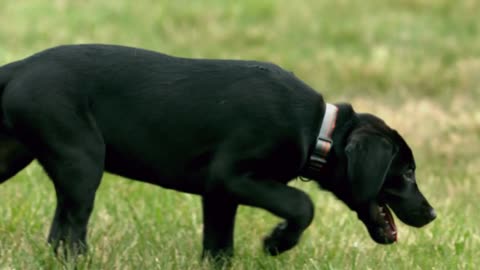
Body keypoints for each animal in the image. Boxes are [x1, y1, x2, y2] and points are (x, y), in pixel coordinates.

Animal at [0, 45, 436, 260]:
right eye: (407, 172)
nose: (432, 213)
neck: (318, 131)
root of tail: (18, 67)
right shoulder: (232, 175)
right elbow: (302, 204)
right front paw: (277, 243)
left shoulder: (219, 194)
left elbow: (218, 245)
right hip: (82, 161)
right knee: (68, 233)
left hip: (15, 154)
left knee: (60, 234)